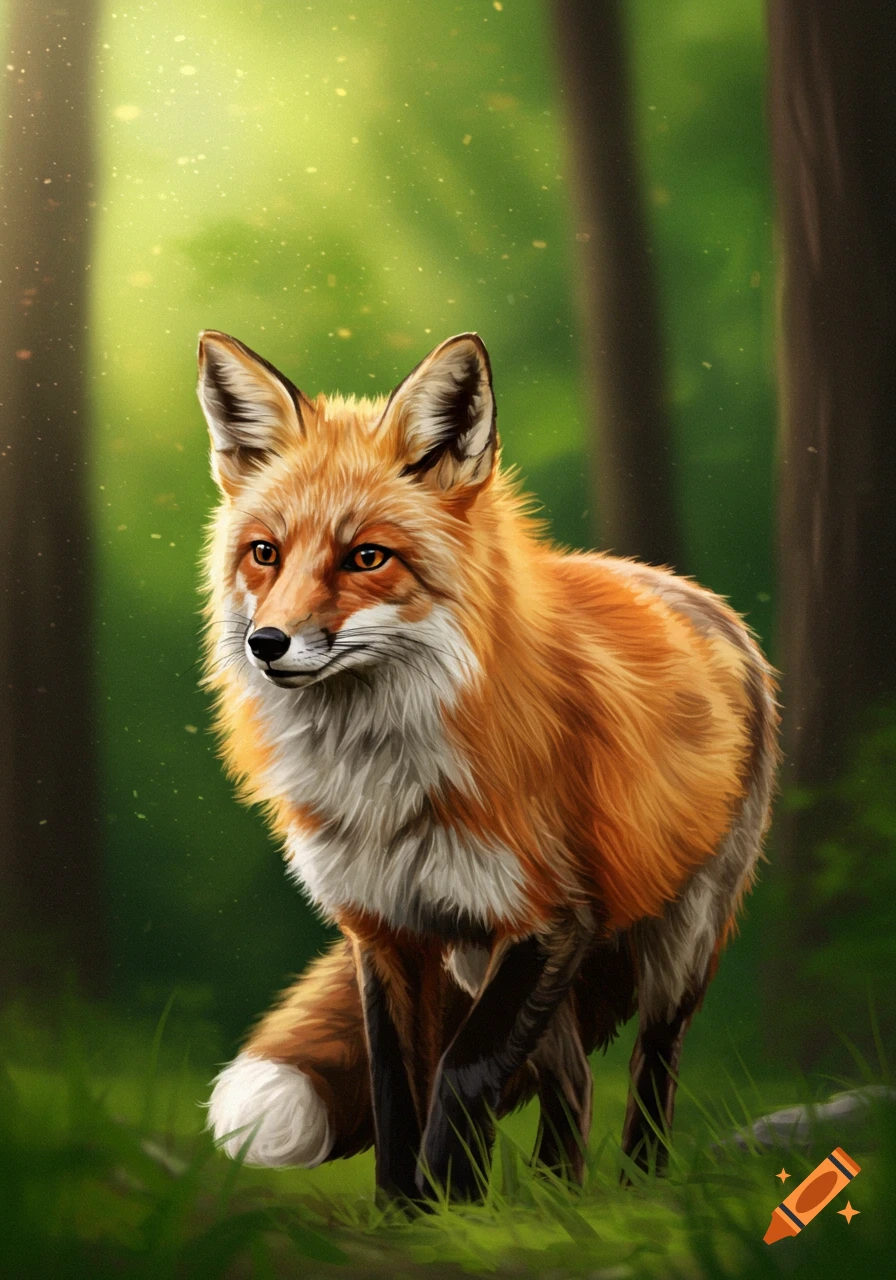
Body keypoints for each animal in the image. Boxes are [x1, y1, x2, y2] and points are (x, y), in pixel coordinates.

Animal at [198, 329, 779, 1201]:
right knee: (573, 1079)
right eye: (264, 553)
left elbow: (462, 1075)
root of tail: (696, 595)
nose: (268, 644)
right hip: (481, 960)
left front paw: (450, 1200)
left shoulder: (550, 916)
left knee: (652, 1062)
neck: (381, 781)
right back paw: (557, 1204)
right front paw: (413, 1214)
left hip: (679, 940)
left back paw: (636, 1188)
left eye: (367, 557)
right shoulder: (388, 929)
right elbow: (398, 1092)